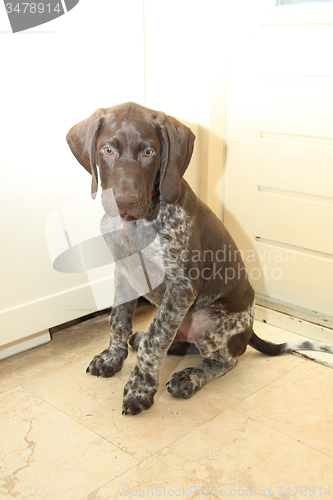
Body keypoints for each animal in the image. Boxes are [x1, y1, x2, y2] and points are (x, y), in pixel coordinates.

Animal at [67, 101, 332, 414]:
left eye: (149, 152)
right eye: (107, 150)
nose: (125, 200)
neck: (135, 224)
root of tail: (250, 330)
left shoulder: (182, 286)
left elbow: (155, 339)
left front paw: (140, 388)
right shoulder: (124, 272)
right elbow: (118, 320)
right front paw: (112, 358)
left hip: (208, 325)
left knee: (226, 359)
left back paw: (190, 377)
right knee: (179, 341)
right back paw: (151, 342)